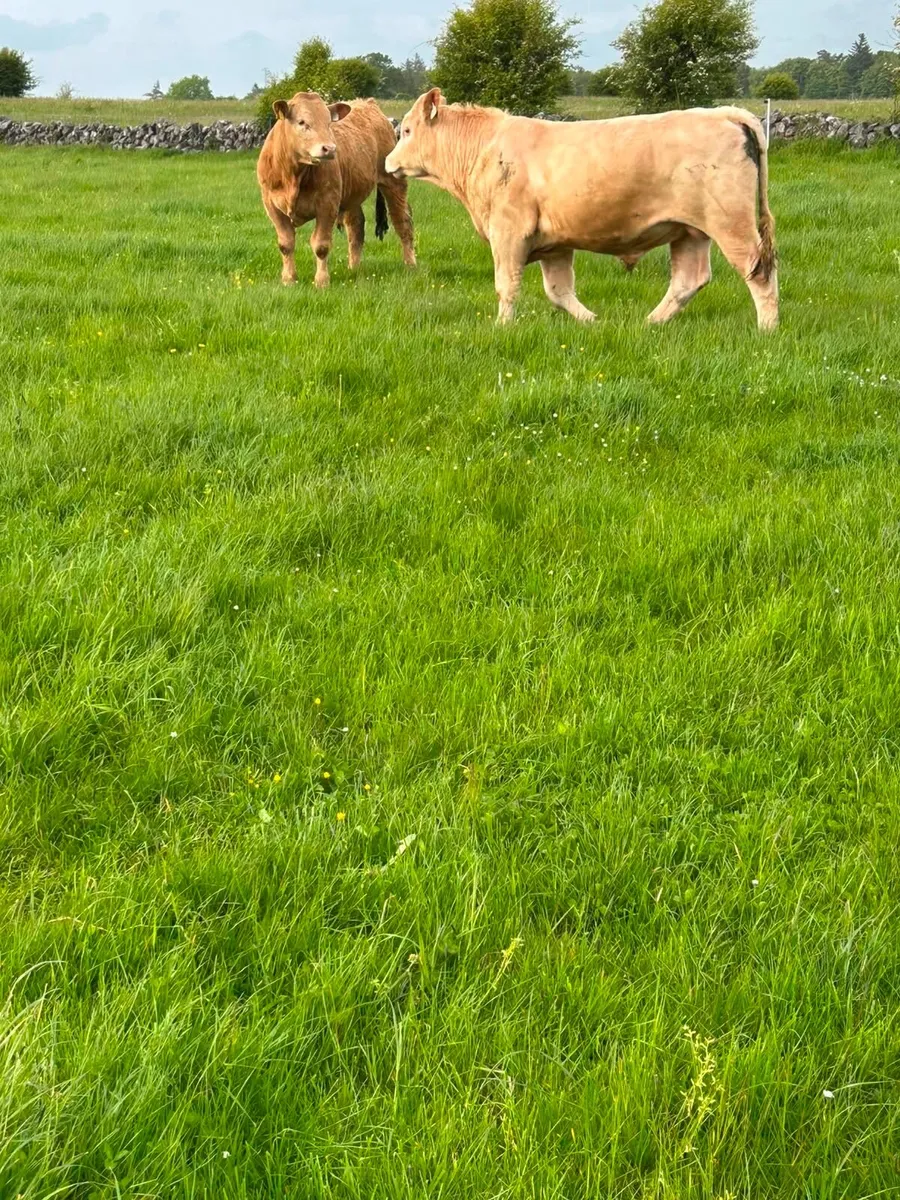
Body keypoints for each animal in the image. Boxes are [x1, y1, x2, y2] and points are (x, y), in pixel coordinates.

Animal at [257, 92, 416, 288]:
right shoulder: (272, 206)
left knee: (402, 222)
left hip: (393, 183)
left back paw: (410, 265)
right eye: (302, 122)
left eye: (328, 123)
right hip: (352, 194)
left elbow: (321, 245)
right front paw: (289, 279)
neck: (293, 174)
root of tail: (367, 102)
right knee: (356, 226)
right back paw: (354, 268)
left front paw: (321, 281)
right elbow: (286, 244)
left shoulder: (328, 203)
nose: (330, 148)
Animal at [385, 89, 778, 330]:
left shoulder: (508, 232)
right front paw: (593, 321)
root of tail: (725, 114)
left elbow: (506, 285)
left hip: (731, 223)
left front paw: (503, 326)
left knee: (759, 272)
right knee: (688, 280)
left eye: (407, 130)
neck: (484, 149)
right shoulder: (554, 243)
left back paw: (767, 330)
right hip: (690, 231)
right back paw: (650, 323)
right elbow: (559, 292)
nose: (387, 162)